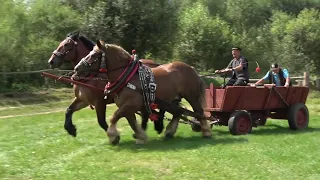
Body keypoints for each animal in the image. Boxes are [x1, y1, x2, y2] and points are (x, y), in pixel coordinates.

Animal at [73, 39, 211, 145]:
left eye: (94, 56)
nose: (76, 68)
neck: (127, 78)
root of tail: (192, 69)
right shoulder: (127, 107)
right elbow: (132, 122)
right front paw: (141, 137)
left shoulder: (130, 105)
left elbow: (114, 117)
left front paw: (113, 136)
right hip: (172, 100)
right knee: (179, 112)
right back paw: (169, 132)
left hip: (191, 96)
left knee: (199, 112)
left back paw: (206, 132)